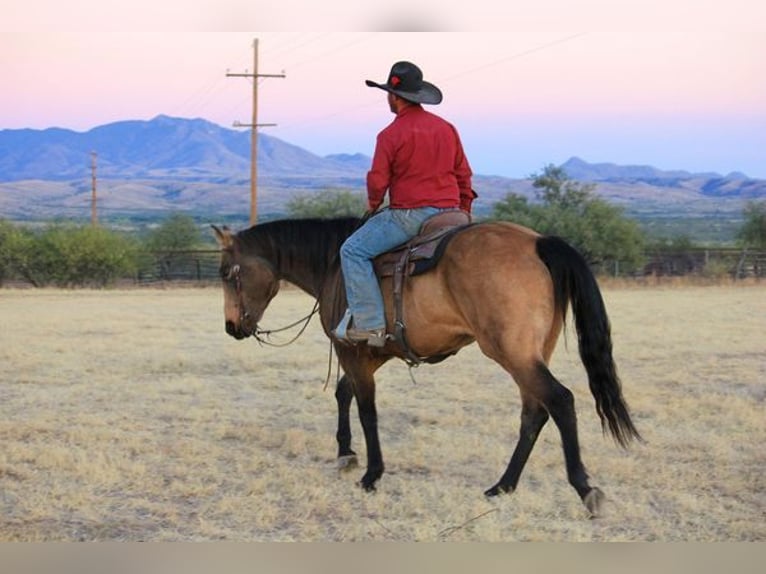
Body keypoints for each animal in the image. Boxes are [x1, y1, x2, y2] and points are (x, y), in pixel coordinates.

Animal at [212, 217, 640, 520]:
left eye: (226, 273)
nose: (231, 327)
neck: (334, 263)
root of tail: (538, 242)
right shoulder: (372, 353)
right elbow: (344, 392)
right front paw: (346, 453)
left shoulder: (351, 351)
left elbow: (366, 410)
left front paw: (372, 473)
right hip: (532, 354)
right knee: (534, 412)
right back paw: (502, 486)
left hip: (513, 354)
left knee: (560, 401)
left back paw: (584, 488)